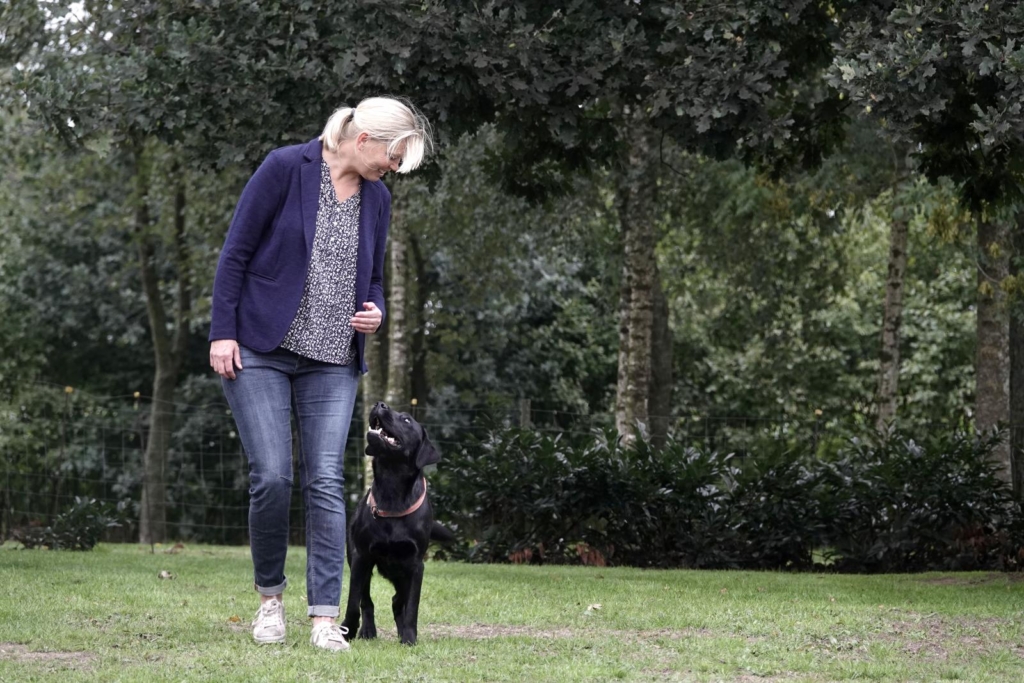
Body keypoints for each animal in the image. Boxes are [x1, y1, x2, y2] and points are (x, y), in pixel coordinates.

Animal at [339, 401, 452, 647]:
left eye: (407, 420)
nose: (380, 404)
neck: (392, 488)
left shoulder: (416, 566)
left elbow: (412, 608)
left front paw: (409, 637)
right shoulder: (362, 557)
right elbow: (354, 602)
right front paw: (347, 631)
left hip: (402, 573)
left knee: (397, 601)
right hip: (357, 559)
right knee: (367, 600)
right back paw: (367, 631)